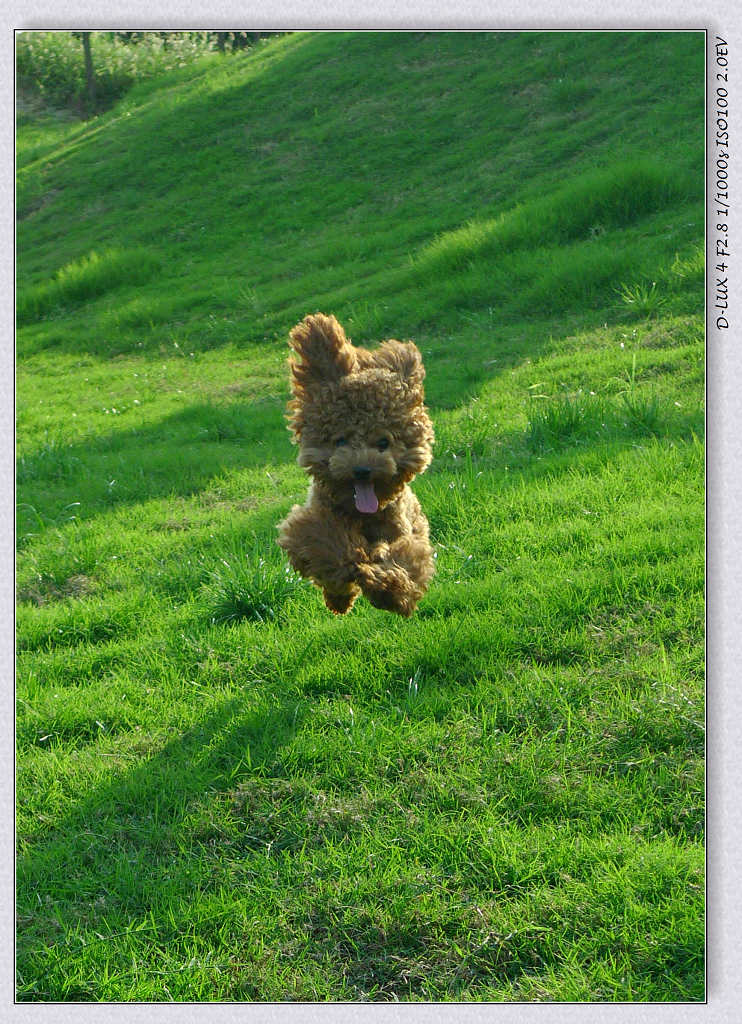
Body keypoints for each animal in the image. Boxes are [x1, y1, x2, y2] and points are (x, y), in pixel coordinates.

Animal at [278, 311, 433, 614]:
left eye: (383, 442)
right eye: (340, 441)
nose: (362, 469)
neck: (363, 514)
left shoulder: (406, 535)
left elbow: (406, 561)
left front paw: (389, 587)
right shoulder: (314, 525)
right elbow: (334, 549)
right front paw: (357, 564)